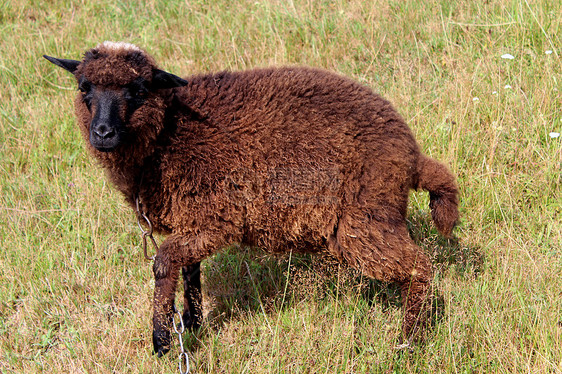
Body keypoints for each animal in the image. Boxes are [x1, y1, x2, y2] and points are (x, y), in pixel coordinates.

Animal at [42, 41, 456, 356]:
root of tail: (411, 155)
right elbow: (188, 269)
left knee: (418, 268)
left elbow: (163, 263)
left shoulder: (217, 220)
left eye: (139, 90)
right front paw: (191, 323)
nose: (102, 133)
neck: (168, 135)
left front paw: (161, 339)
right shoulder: (193, 218)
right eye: (84, 88)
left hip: (364, 220)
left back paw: (410, 341)